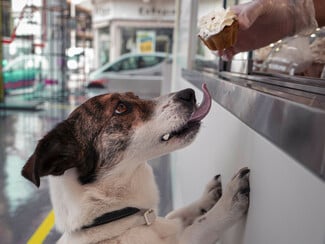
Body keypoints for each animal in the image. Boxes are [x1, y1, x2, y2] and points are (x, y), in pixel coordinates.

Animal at [21, 84, 249, 244]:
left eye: (136, 97)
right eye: (121, 108)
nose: (190, 93)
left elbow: (177, 214)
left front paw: (207, 197)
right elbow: (201, 225)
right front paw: (229, 200)